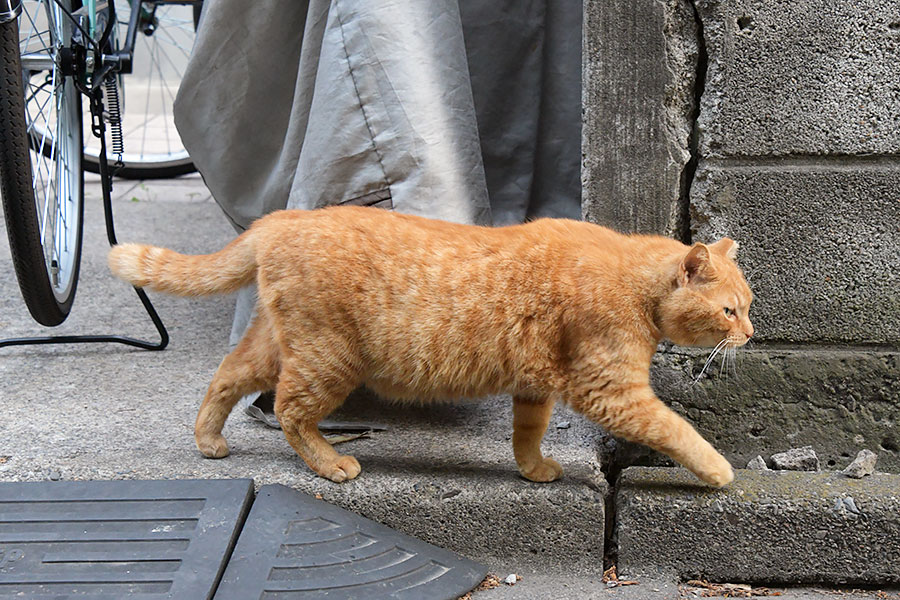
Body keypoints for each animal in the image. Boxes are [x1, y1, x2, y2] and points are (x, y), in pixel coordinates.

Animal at [107, 206, 752, 488]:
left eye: (747, 306)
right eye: (729, 310)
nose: (748, 335)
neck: (634, 281)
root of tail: (280, 217)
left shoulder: (534, 386)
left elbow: (526, 433)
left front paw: (533, 469)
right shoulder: (612, 391)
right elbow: (677, 430)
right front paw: (720, 469)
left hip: (280, 346)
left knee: (226, 374)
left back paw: (208, 440)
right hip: (328, 359)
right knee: (290, 411)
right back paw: (331, 463)